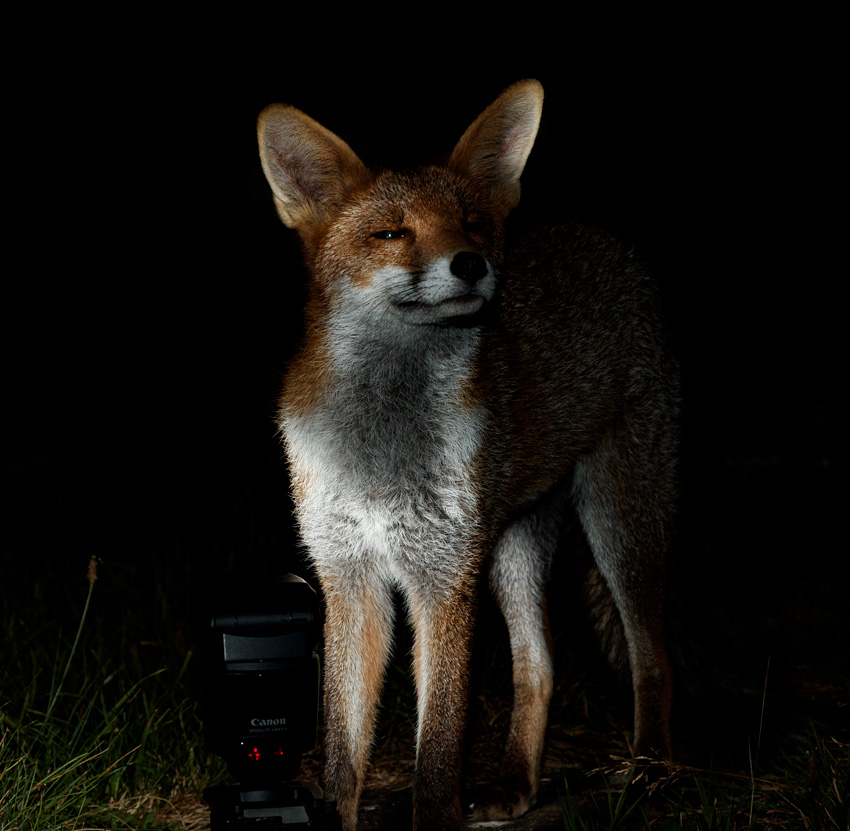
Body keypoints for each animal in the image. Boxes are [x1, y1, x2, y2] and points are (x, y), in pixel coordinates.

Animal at [257, 79, 678, 830]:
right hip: (512, 549)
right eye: (391, 232)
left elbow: (437, 756)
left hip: (618, 523)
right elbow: (341, 755)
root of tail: (602, 239)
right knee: (538, 666)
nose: (472, 265)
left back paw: (651, 773)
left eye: (473, 225)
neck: (380, 452)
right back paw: (516, 784)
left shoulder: (443, 576)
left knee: (652, 656)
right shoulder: (349, 577)